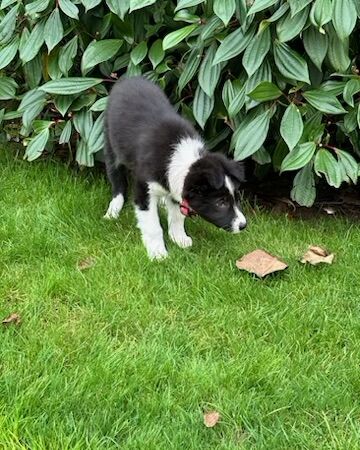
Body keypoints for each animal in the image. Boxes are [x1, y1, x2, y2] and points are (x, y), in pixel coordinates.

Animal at [102, 77, 246, 260]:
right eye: (221, 203)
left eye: (235, 197)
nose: (243, 225)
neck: (183, 159)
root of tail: (129, 78)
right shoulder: (144, 188)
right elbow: (153, 225)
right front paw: (158, 253)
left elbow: (177, 215)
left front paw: (179, 238)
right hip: (111, 145)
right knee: (117, 180)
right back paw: (113, 210)